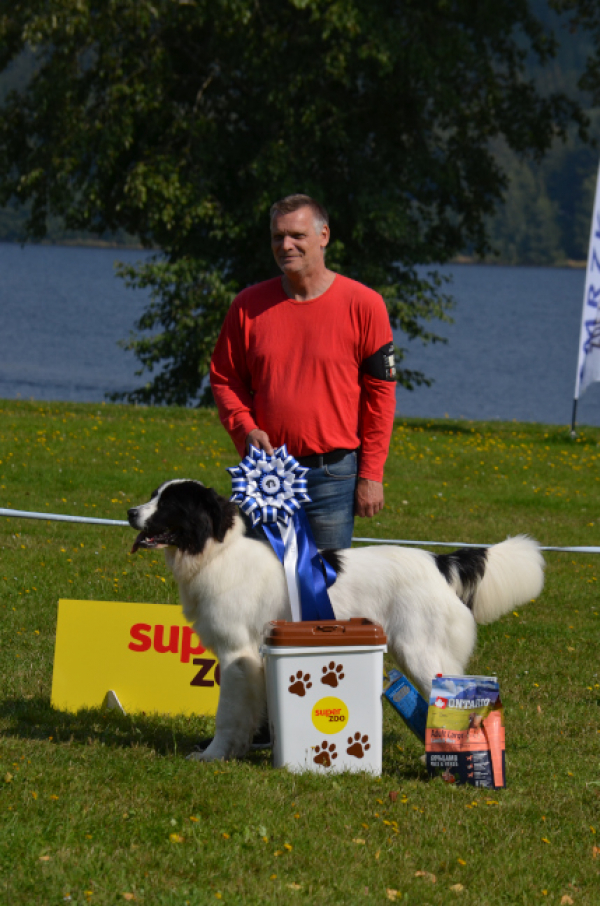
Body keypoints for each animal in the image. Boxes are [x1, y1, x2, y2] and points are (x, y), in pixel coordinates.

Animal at [129, 476, 548, 760]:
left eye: (168, 504)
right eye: (153, 496)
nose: (130, 513)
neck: (215, 553)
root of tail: (439, 561)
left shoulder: (237, 657)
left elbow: (228, 715)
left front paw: (213, 755)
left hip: (421, 653)